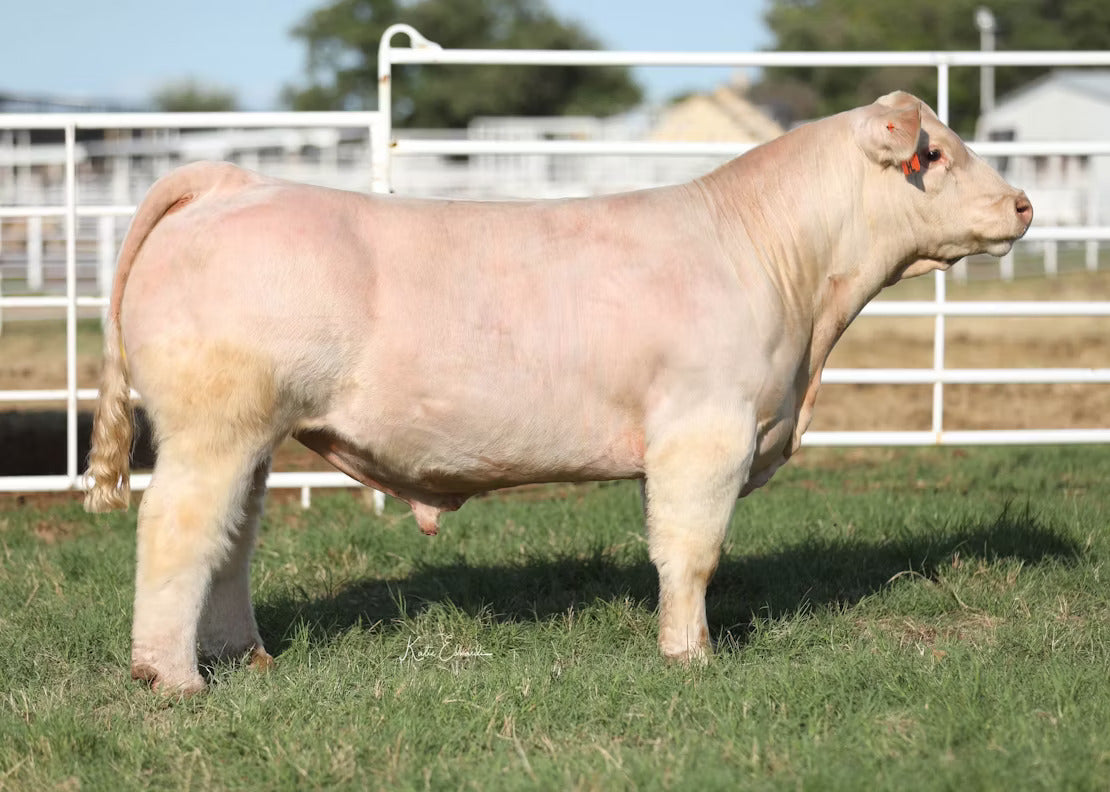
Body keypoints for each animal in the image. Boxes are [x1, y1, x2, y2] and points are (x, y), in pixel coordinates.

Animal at [84, 91, 1031, 694]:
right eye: (933, 153)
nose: (1022, 204)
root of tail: (235, 182)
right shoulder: (706, 433)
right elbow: (692, 554)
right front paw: (691, 658)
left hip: (252, 438)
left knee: (231, 543)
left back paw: (248, 658)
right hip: (214, 428)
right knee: (177, 532)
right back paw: (172, 679)